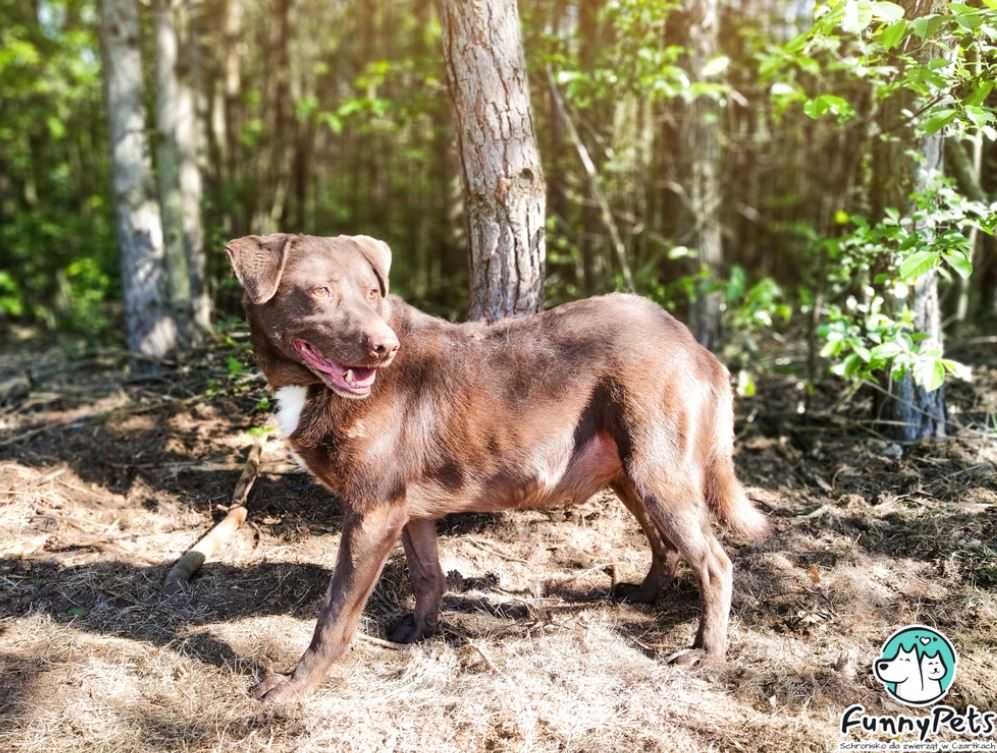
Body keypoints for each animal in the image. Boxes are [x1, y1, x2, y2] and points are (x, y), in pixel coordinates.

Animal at [228, 232, 772, 704]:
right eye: (320, 291)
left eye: (372, 292)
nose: (385, 348)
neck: (313, 388)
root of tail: (693, 345)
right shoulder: (407, 510)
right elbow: (429, 575)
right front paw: (420, 631)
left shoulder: (373, 511)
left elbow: (335, 614)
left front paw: (293, 686)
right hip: (630, 473)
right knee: (666, 544)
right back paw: (645, 595)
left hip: (657, 471)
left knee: (715, 563)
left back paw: (706, 653)